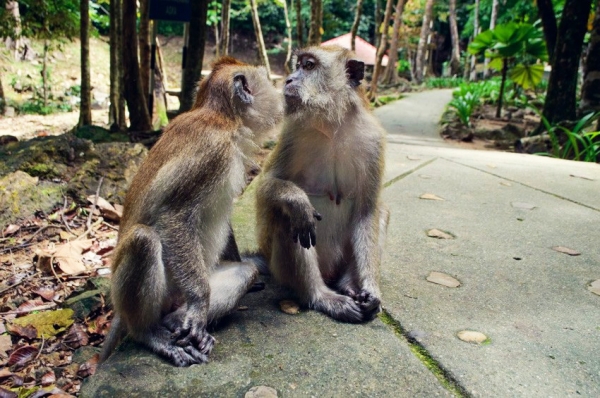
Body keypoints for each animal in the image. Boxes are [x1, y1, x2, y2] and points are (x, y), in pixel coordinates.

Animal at [101, 56, 284, 366]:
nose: (282, 88)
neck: (224, 118)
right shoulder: (212, 152)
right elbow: (173, 215)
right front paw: (199, 304)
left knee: (243, 272)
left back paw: (176, 321)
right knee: (143, 240)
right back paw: (149, 333)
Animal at [254, 45, 390, 324]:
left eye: (308, 66)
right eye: (299, 65)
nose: (288, 80)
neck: (333, 123)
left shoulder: (374, 142)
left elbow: (367, 212)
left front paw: (371, 289)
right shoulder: (292, 133)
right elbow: (265, 186)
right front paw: (296, 200)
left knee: (380, 211)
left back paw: (349, 284)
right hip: (281, 267)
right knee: (288, 217)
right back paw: (319, 295)